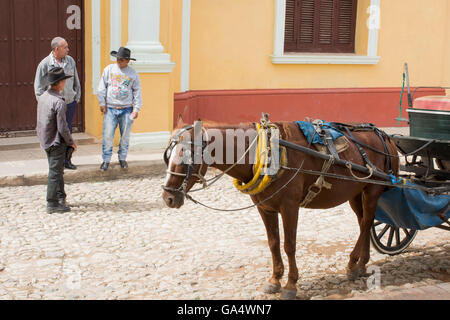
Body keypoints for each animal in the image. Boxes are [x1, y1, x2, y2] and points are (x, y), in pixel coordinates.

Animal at [161, 117, 398, 300]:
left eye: (185, 157)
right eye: (167, 156)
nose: (168, 197)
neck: (266, 152)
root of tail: (383, 135)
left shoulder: (290, 206)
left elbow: (289, 245)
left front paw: (291, 285)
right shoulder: (265, 207)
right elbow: (273, 243)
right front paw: (274, 280)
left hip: (372, 190)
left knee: (366, 223)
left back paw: (355, 264)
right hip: (356, 193)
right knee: (363, 223)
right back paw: (359, 264)